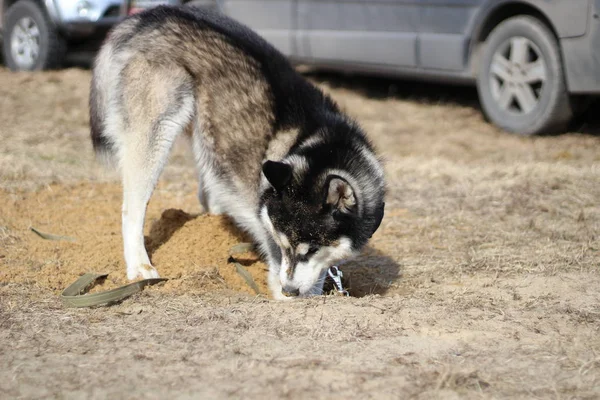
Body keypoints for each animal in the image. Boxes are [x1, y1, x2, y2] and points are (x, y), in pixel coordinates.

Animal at [91, 5, 386, 300]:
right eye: (281, 245)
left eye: (311, 249)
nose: (288, 290)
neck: (327, 144)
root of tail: (152, 15)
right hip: (157, 132)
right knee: (132, 208)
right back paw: (139, 266)